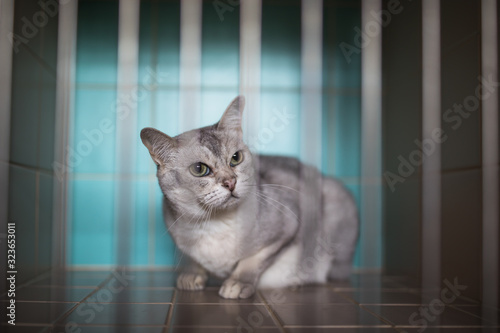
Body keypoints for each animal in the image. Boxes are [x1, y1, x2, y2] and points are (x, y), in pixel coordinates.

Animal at [141, 96, 360, 298]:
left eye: (236, 158)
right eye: (199, 169)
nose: (230, 182)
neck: (215, 224)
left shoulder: (287, 227)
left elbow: (252, 260)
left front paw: (238, 283)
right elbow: (194, 260)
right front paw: (192, 275)